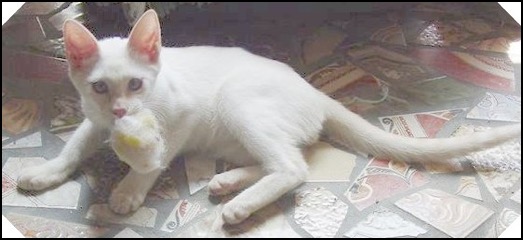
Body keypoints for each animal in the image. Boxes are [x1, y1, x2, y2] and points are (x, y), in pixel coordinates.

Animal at [17, 10, 520, 224]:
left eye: (137, 85)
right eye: (100, 87)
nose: (122, 111)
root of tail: (315, 91)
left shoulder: (180, 116)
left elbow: (157, 156)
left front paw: (128, 189)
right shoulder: (91, 118)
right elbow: (73, 147)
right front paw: (46, 172)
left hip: (236, 100)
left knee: (293, 166)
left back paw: (240, 202)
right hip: (231, 130)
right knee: (278, 157)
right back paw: (228, 181)